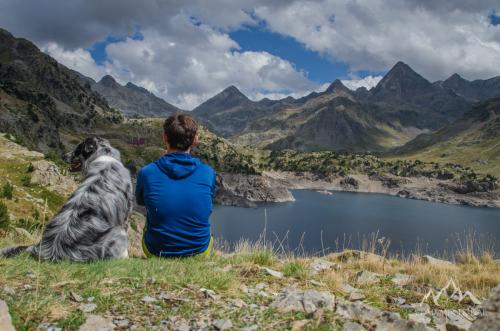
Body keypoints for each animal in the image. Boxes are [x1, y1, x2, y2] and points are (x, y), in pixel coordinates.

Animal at [0, 137, 133, 262]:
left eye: (78, 148)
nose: (63, 156)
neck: (103, 155)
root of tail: (49, 250)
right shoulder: (124, 218)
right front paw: (126, 257)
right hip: (116, 233)